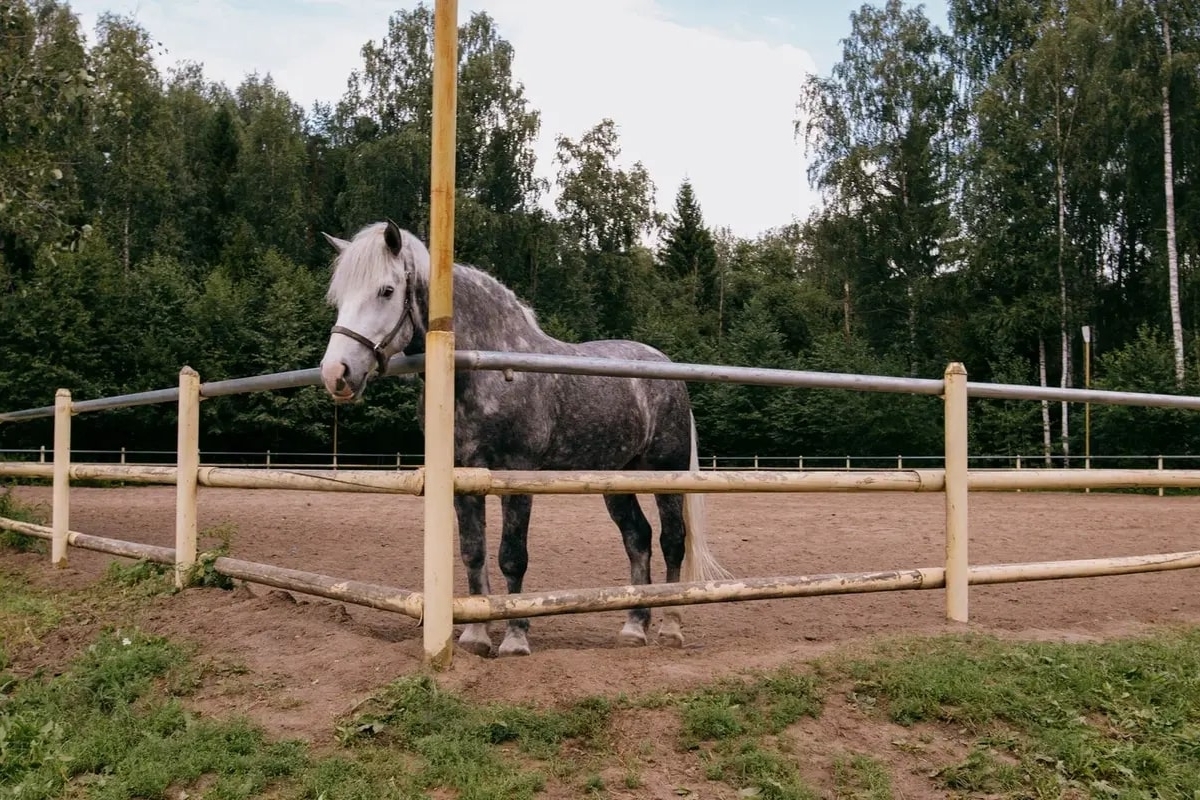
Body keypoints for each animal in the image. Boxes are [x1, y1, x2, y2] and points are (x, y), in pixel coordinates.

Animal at [316, 217, 729, 657]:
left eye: (387, 290)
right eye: (339, 297)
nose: (336, 373)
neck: (485, 372)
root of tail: (666, 369)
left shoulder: (517, 474)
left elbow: (512, 555)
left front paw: (515, 638)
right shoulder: (464, 476)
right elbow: (473, 552)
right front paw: (476, 636)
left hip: (666, 474)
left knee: (672, 541)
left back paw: (671, 626)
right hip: (615, 479)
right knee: (638, 538)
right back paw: (634, 626)